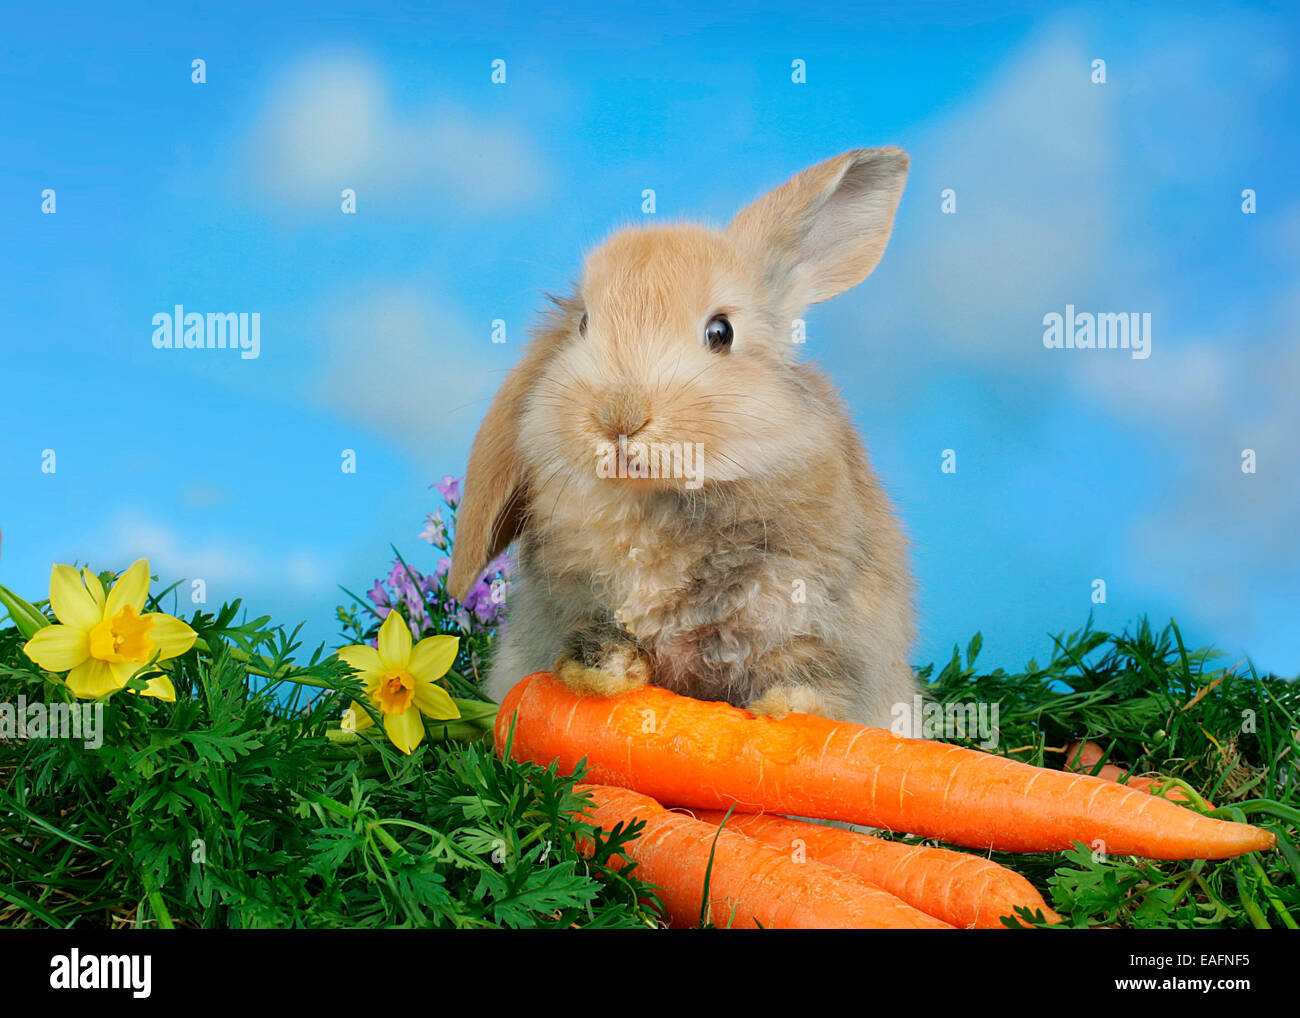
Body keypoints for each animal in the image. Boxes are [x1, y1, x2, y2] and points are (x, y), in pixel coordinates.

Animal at [447, 147, 917, 728]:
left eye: (721, 333)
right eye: (583, 325)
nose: (618, 417)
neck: (650, 500)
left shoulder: (811, 622)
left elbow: (809, 684)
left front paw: (780, 712)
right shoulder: (578, 607)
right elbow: (597, 644)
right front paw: (598, 675)